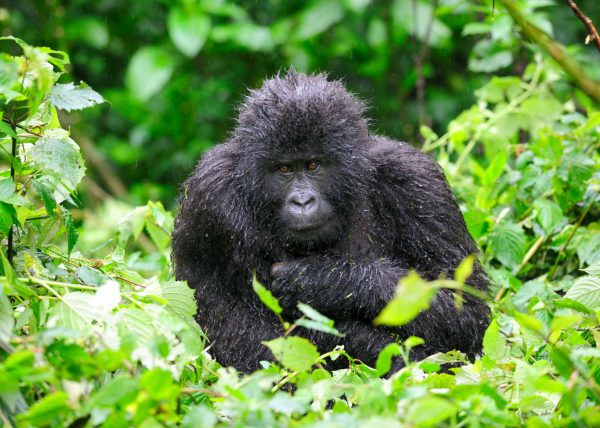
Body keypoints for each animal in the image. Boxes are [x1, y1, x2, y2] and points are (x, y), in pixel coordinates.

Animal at [171, 72, 490, 372]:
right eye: (283, 169)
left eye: (313, 165)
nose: (302, 202)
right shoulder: (210, 196)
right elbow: (241, 337)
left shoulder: (416, 180)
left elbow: (465, 312)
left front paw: (324, 280)